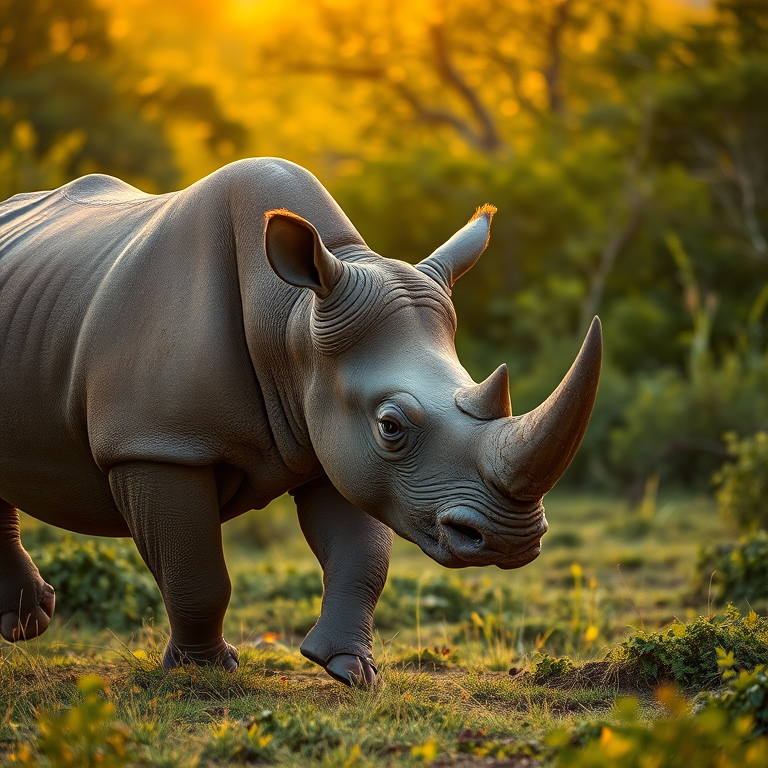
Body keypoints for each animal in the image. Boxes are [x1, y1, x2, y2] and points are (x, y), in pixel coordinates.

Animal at [0, 158, 601, 685]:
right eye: (391, 426)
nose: (510, 541)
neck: (292, 320)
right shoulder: (155, 445)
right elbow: (195, 572)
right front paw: (203, 673)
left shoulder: (333, 433)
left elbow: (363, 557)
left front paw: (350, 670)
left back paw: (26, 625)